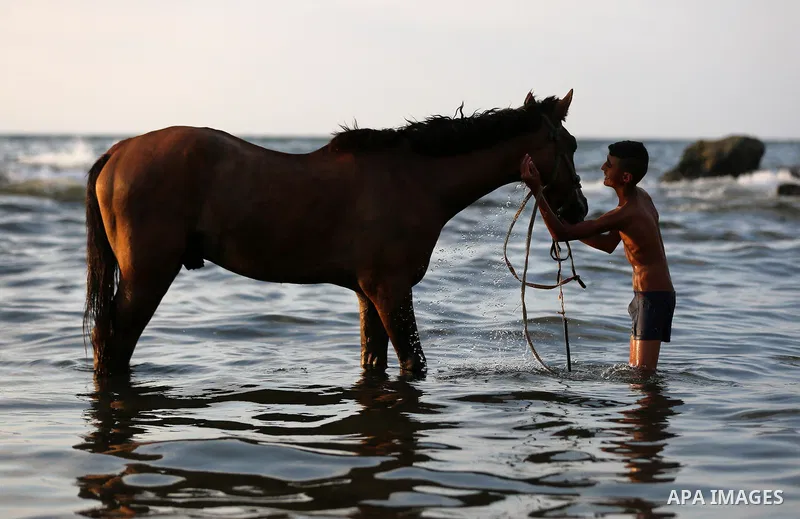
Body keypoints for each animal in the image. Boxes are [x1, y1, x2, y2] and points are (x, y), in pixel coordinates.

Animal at [84, 89, 588, 377]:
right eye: (570, 144)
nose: (578, 209)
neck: (414, 180)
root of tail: (118, 152)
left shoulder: (369, 294)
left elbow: (374, 361)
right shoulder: (390, 290)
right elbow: (414, 363)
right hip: (148, 275)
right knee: (113, 343)